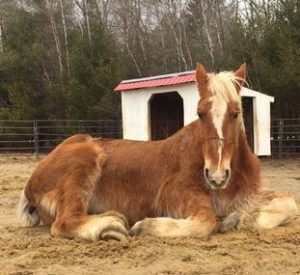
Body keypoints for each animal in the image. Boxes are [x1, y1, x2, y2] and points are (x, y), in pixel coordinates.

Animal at [17, 64, 298, 242]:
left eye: (236, 112)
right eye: (200, 113)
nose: (216, 176)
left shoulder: (246, 193)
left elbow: (288, 202)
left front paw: (245, 220)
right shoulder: (175, 194)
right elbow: (206, 220)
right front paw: (145, 226)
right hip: (84, 161)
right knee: (65, 222)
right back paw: (111, 228)